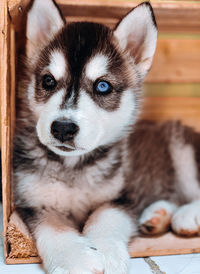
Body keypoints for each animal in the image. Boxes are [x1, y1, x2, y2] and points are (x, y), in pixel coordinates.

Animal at [14, 0, 200, 272]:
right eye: (48, 81)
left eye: (103, 86)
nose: (63, 128)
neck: (74, 167)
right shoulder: (33, 201)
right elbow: (54, 228)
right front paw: (76, 260)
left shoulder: (124, 195)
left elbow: (104, 215)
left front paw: (104, 251)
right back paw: (157, 216)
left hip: (183, 151)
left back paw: (187, 216)